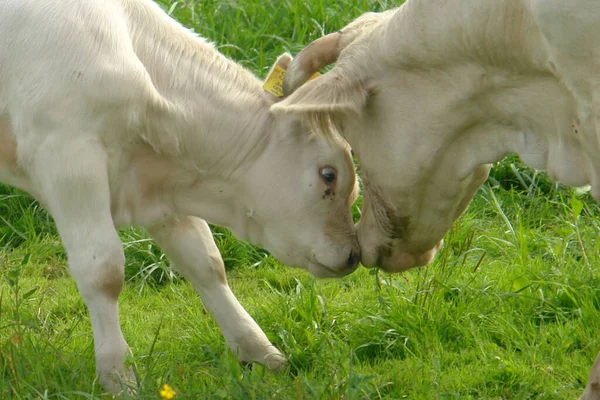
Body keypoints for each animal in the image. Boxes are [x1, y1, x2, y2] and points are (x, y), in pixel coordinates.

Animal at [0, 0, 360, 394]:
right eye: (329, 175)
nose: (353, 255)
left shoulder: (157, 184)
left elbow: (205, 261)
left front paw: (258, 351)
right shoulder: (68, 159)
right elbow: (103, 271)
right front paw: (118, 374)